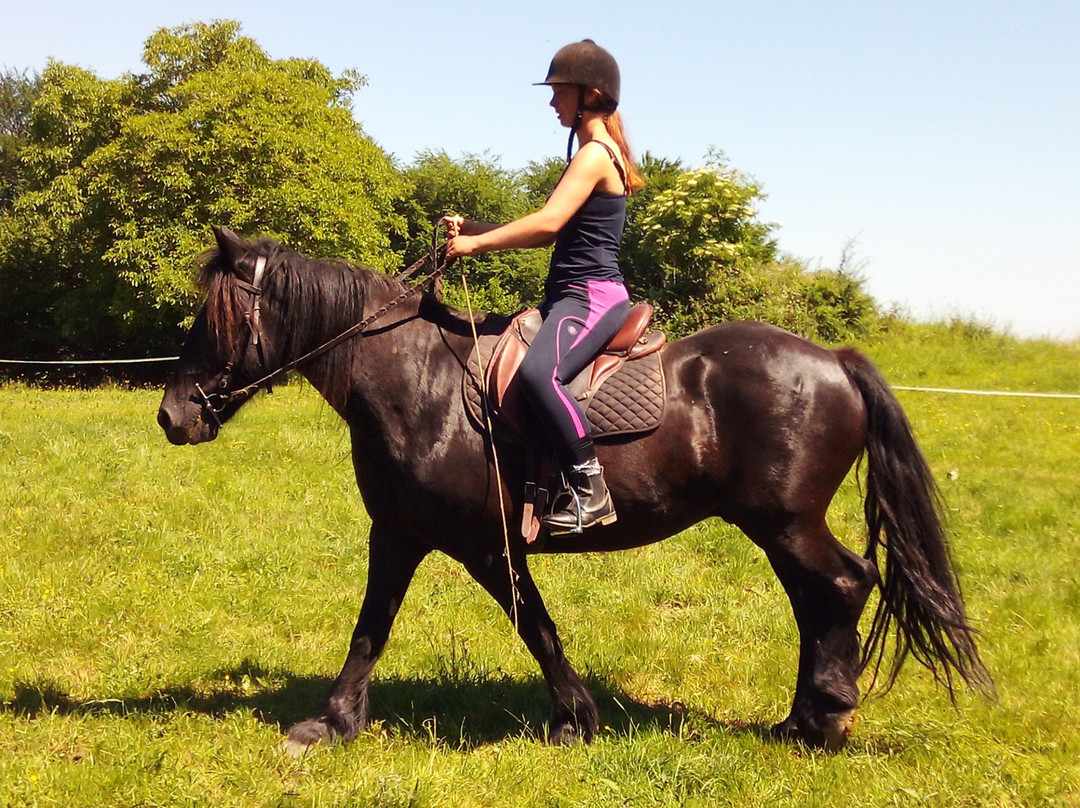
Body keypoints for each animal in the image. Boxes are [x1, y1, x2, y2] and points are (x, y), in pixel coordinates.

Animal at [156, 226, 989, 751]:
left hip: (785, 521)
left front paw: (574, 719)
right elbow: (371, 629)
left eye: (215, 316)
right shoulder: (396, 533)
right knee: (819, 600)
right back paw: (803, 719)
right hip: (777, 525)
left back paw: (825, 719)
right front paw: (332, 722)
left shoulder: (487, 547)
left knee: (843, 586)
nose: (172, 415)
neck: (413, 380)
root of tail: (834, 361)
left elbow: (538, 628)